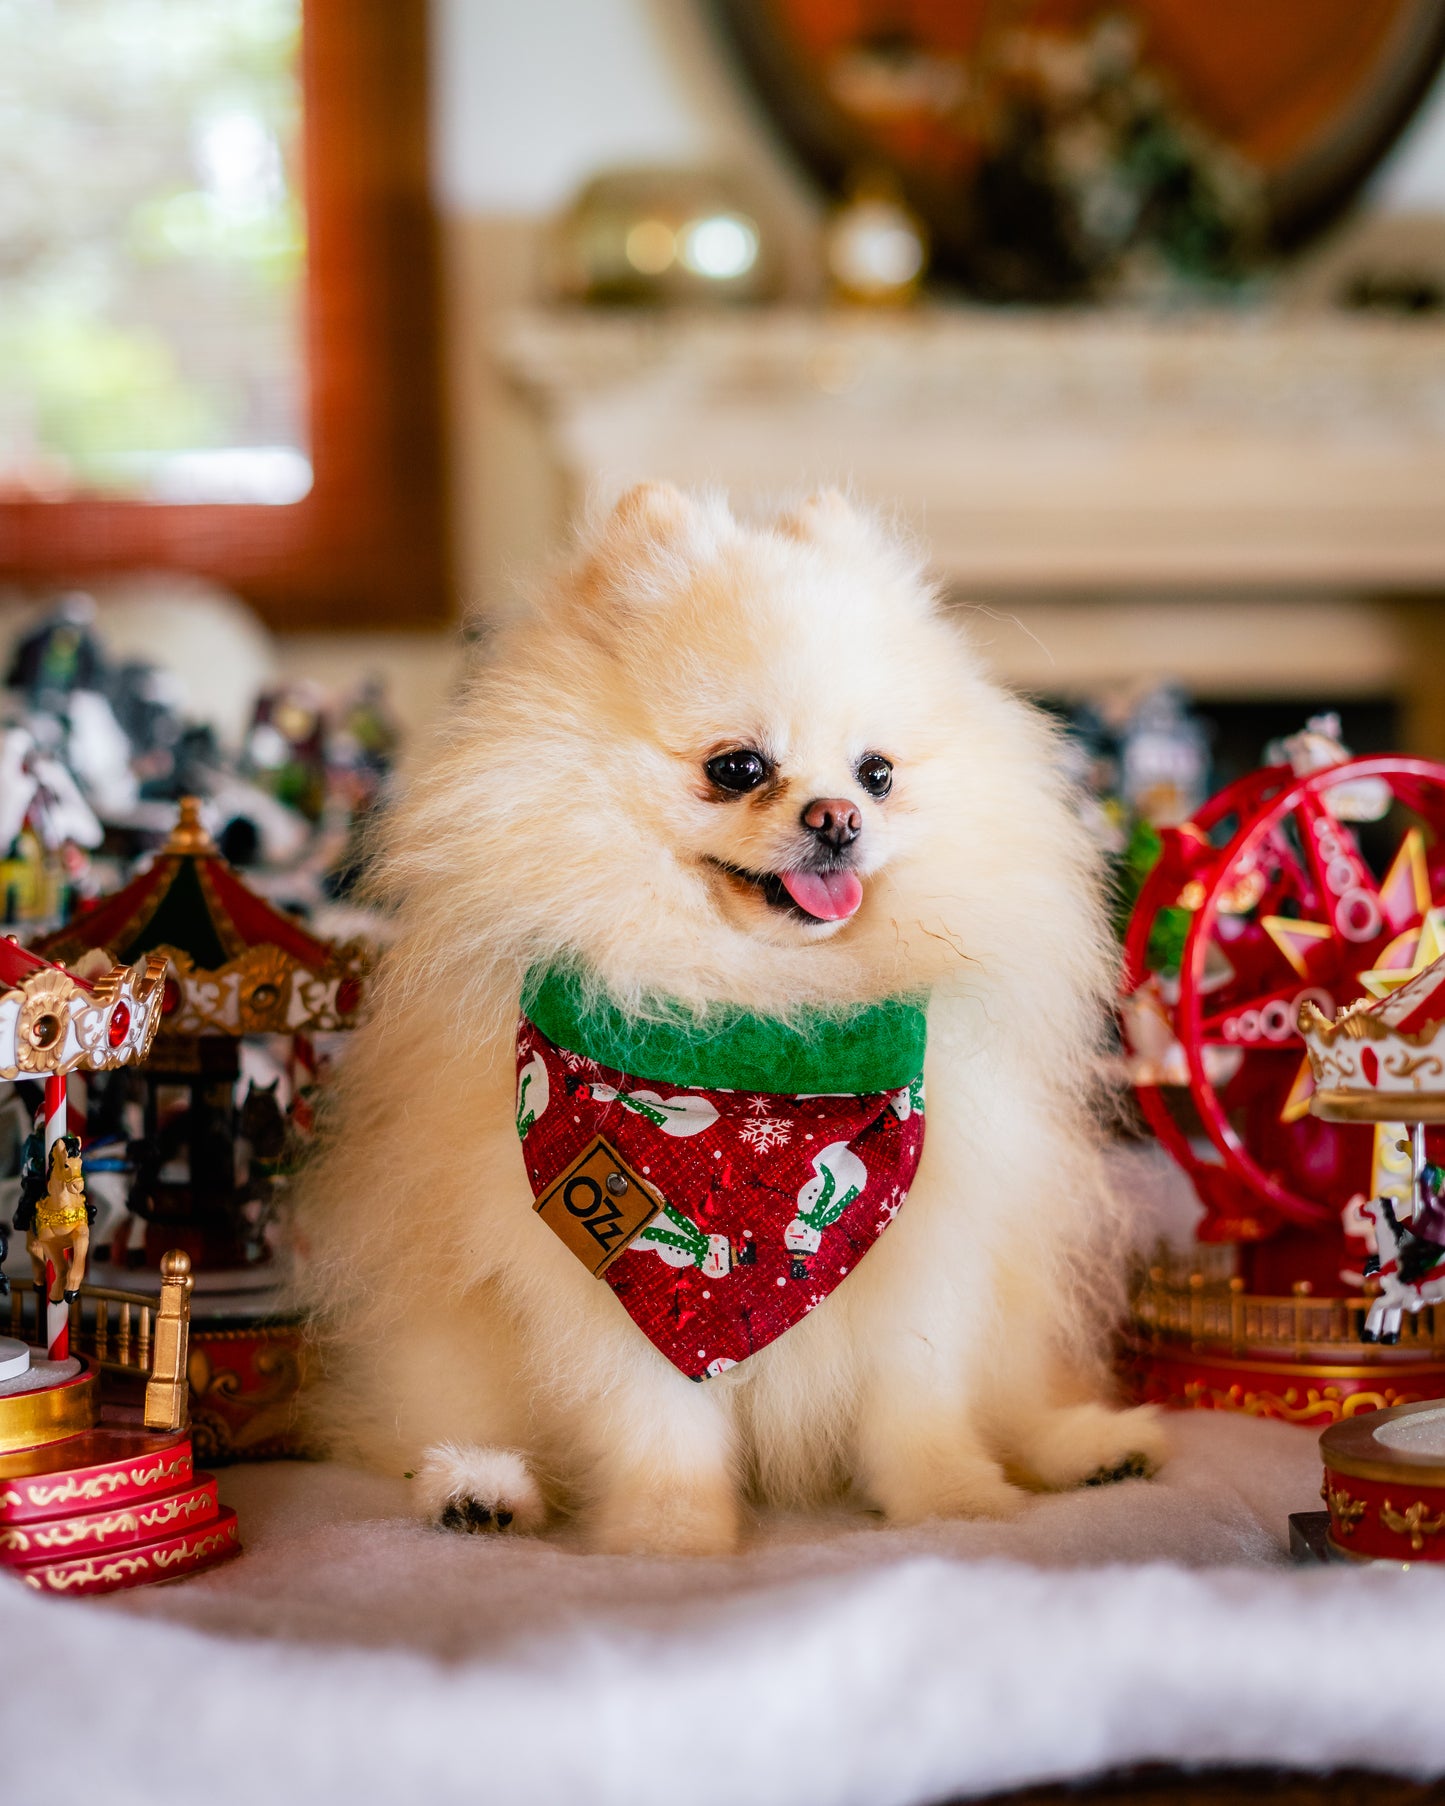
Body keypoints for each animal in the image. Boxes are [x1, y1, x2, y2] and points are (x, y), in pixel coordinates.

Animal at [292, 491, 1163, 1553]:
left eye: (876, 773)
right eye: (738, 767)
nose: (837, 817)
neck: (769, 1027)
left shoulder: (921, 1255)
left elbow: (918, 1405)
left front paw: (952, 1502)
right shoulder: (612, 1285)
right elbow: (658, 1418)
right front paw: (670, 1534)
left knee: (1017, 1406)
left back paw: (1092, 1446)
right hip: (450, 1360)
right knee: (431, 1429)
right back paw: (478, 1488)